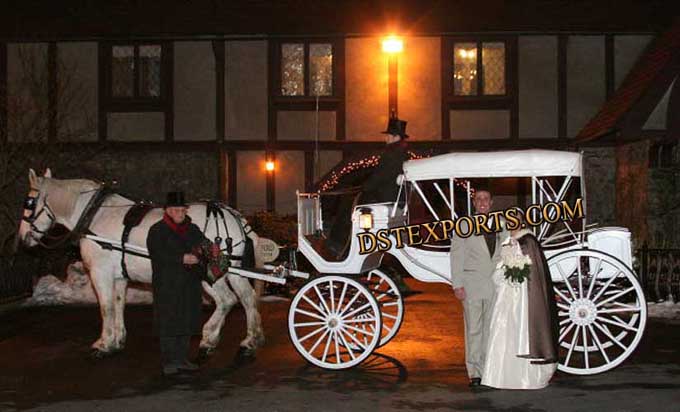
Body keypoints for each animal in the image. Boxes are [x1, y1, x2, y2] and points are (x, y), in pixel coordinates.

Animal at [15, 169, 266, 358]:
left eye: (29, 202)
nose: (23, 237)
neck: (94, 215)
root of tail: (231, 214)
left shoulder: (100, 273)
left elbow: (105, 307)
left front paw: (103, 343)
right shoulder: (119, 277)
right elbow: (118, 305)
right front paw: (117, 340)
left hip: (208, 272)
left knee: (228, 299)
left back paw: (213, 339)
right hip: (231, 271)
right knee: (245, 298)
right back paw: (246, 340)